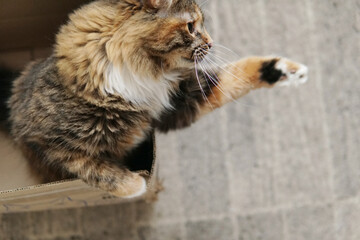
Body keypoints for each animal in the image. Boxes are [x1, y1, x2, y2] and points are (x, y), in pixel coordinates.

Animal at [4, 0, 308, 198]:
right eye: (191, 26)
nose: (210, 43)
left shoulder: (179, 103)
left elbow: (238, 75)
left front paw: (287, 70)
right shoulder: (48, 143)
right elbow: (94, 168)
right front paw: (136, 185)